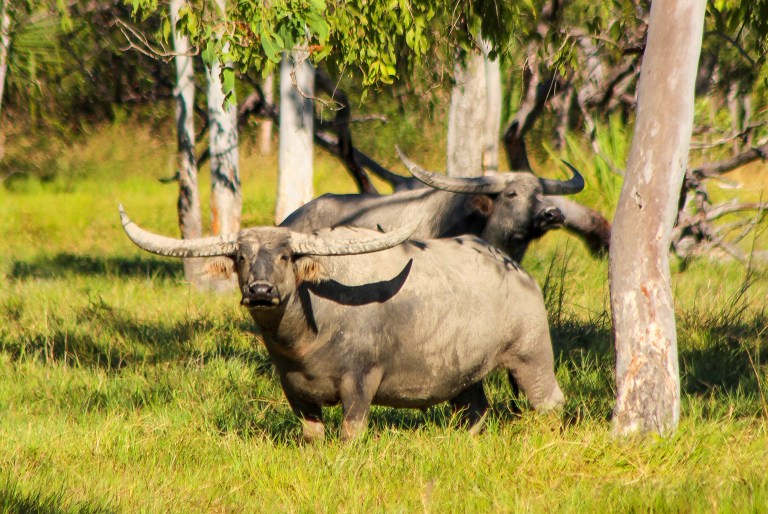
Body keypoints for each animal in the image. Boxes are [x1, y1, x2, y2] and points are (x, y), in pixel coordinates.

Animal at [120, 204, 564, 440]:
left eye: (286, 256)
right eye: (241, 257)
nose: (261, 291)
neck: (305, 340)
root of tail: (519, 273)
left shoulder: (360, 383)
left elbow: (350, 431)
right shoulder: (295, 391)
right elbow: (313, 433)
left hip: (532, 357)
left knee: (550, 403)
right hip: (465, 377)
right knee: (475, 411)